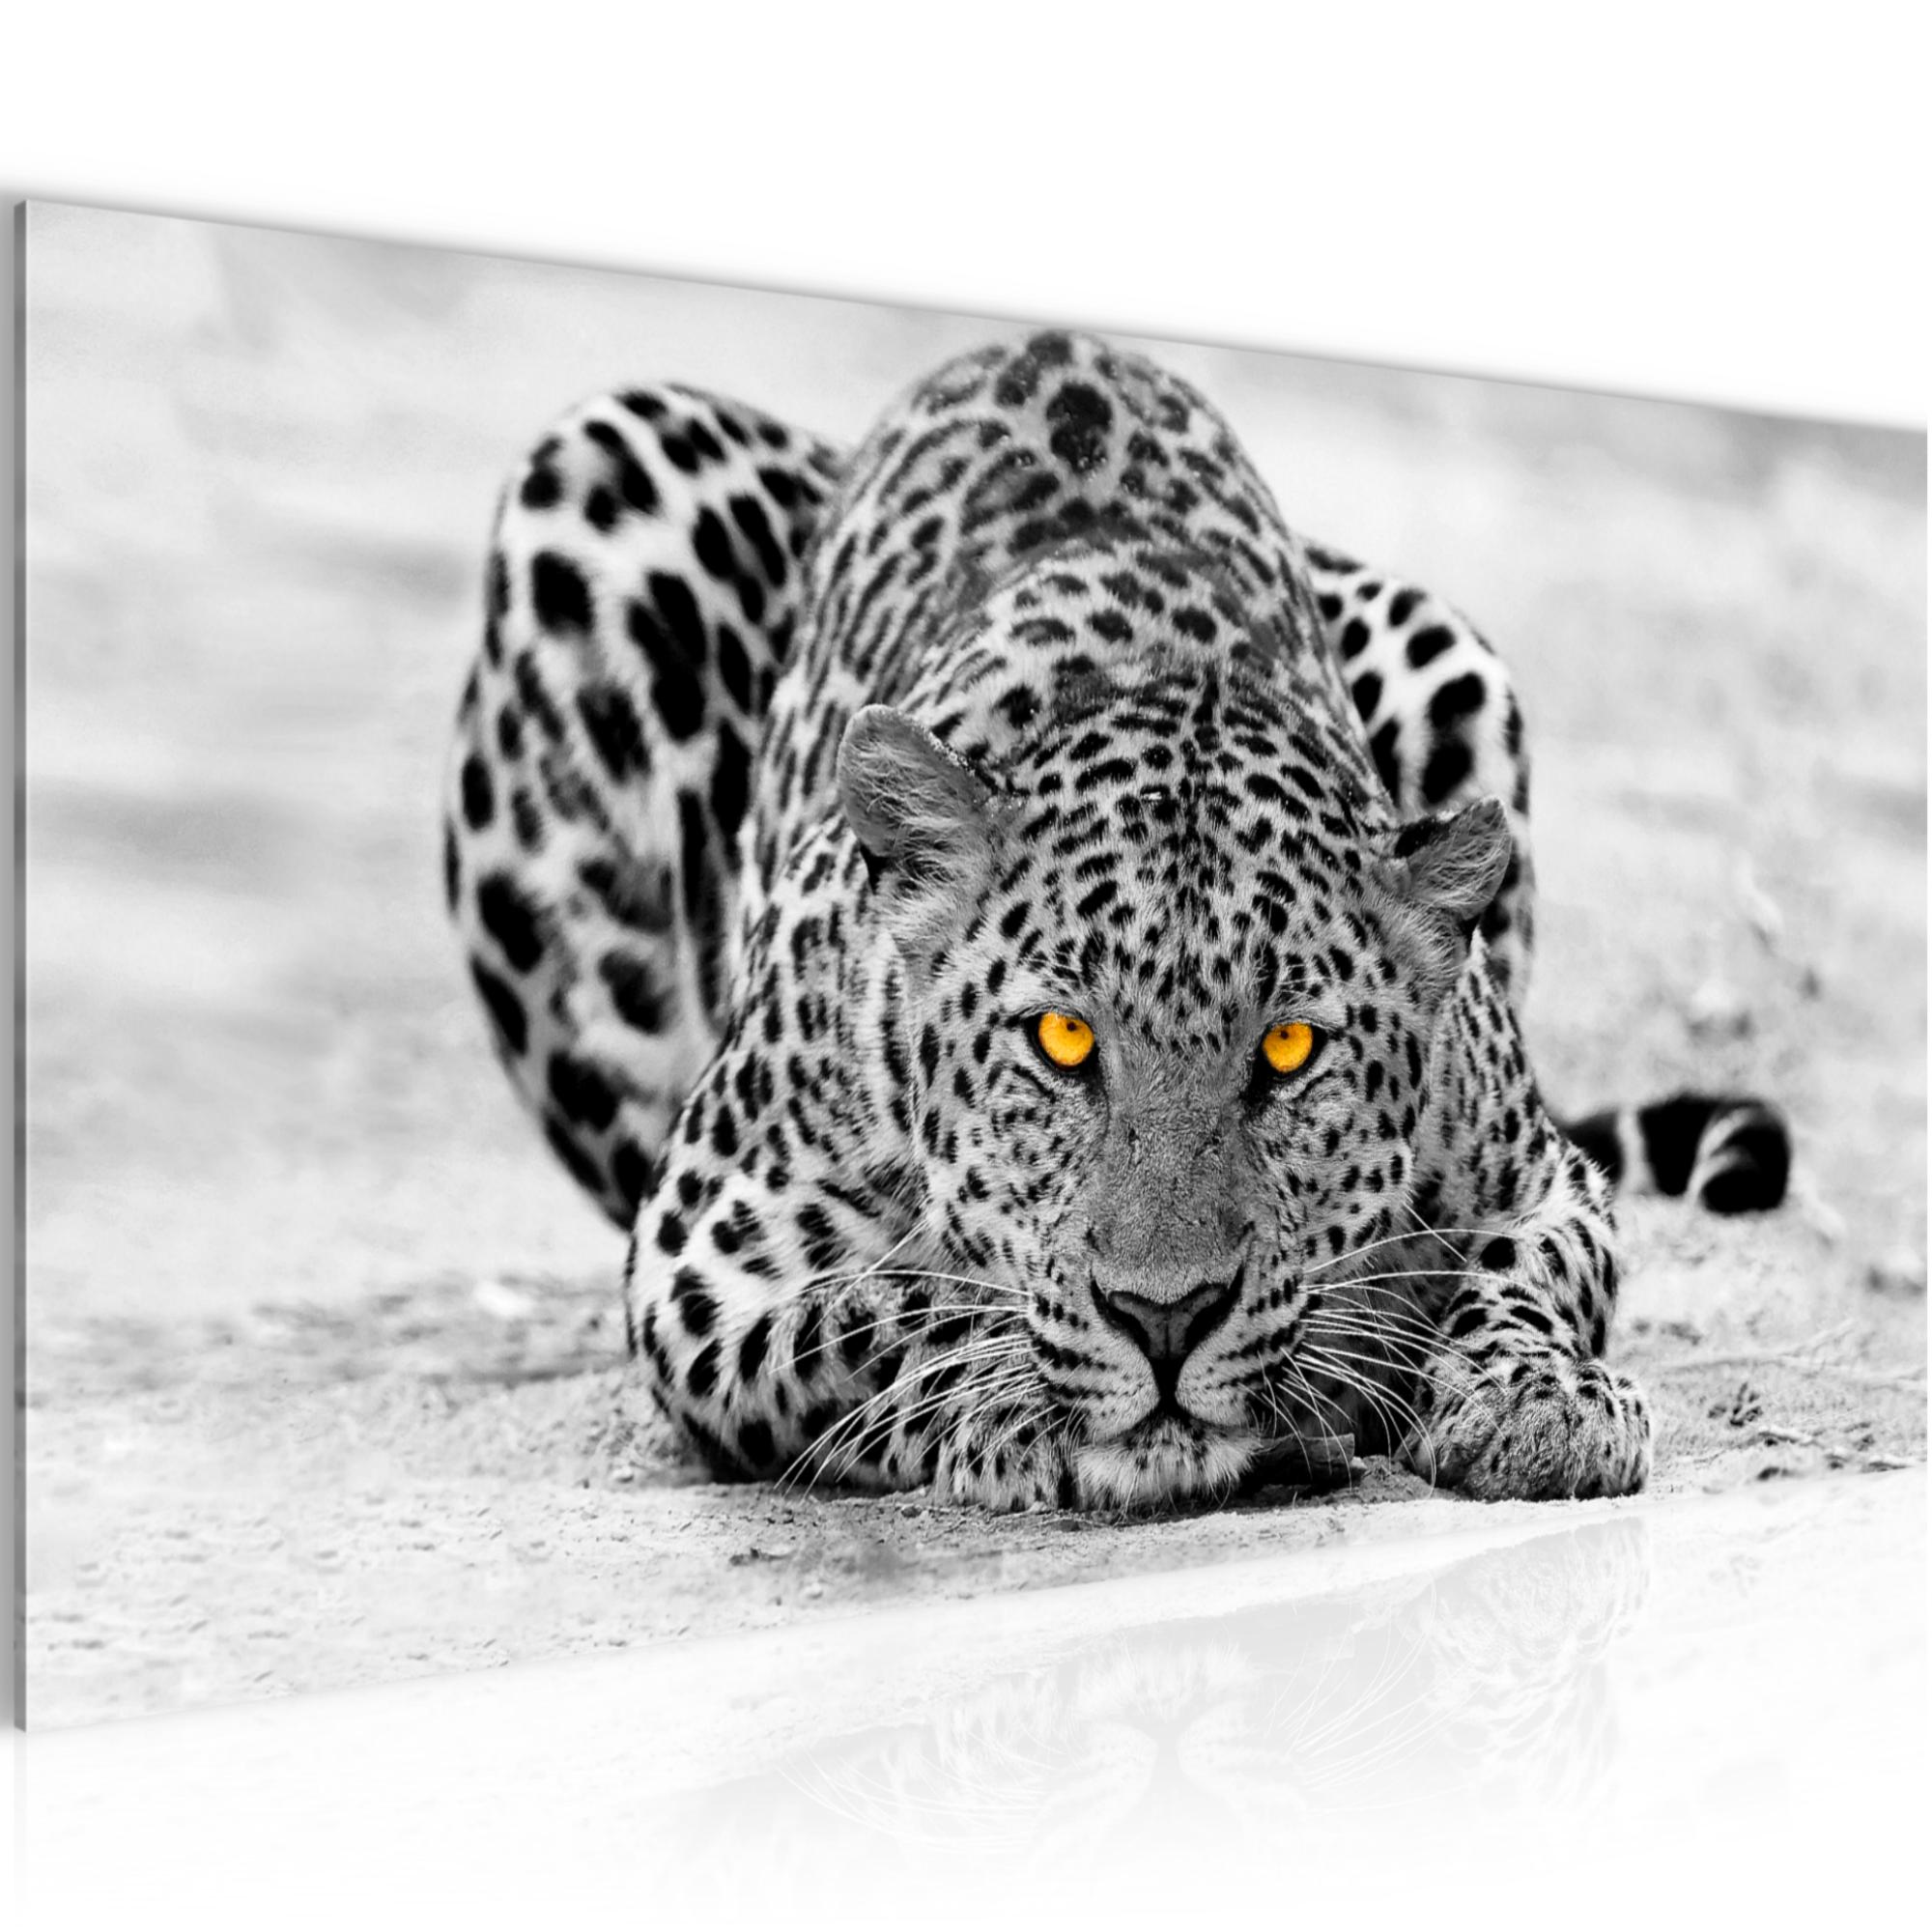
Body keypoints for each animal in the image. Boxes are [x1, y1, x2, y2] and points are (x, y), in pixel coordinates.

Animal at [442, 329, 1790, 1512]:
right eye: (1061, 1040)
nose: (1165, 1316)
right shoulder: (699, 1266)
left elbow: (1523, 1274)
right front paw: (1015, 1394)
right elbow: (885, 1310)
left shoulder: (1541, 1176)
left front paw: (1532, 1397)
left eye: (1287, 1050)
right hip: (598, 479)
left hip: (1444, 645)